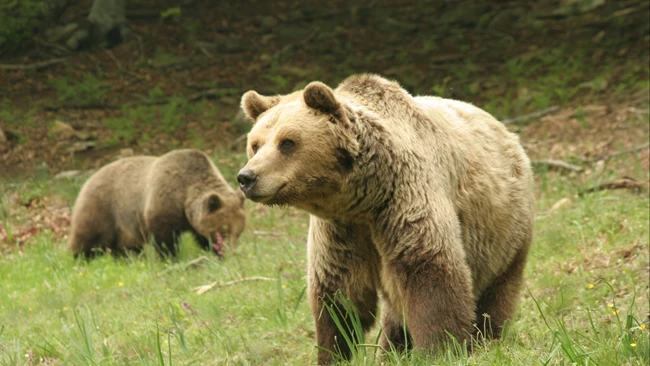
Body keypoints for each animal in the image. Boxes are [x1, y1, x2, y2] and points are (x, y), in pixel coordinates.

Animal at [68, 148, 246, 258]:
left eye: (238, 232)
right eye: (224, 231)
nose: (232, 252)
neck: (184, 197)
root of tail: (88, 179)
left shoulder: (192, 219)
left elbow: (201, 236)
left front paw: (216, 253)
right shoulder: (164, 202)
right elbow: (164, 238)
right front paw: (171, 257)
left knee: (125, 247)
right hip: (102, 206)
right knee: (88, 236)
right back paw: (79, 258)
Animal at [235, 74, 536, 364]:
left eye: (287, 142)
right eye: (255, 145)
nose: (247, 177)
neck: (363, 198)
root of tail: (507, 131)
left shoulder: (404, 200)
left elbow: (429, 274)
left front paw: (441, 350)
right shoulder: (341, 231)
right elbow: (339, 294)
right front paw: (333, 353)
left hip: (504, 231)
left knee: (496, 291)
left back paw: (489, 339)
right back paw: (393, 351)